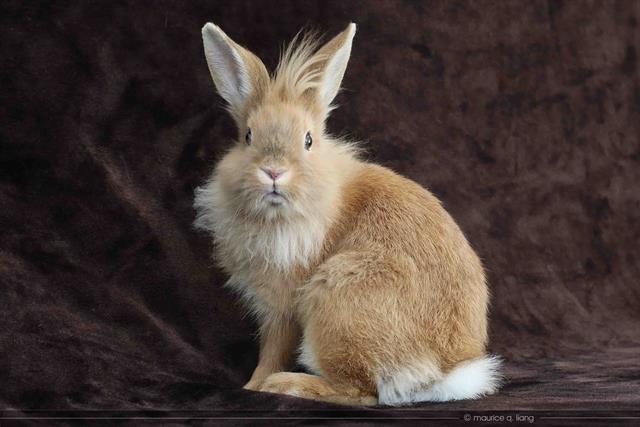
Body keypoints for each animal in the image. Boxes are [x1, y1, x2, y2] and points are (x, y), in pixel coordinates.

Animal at [192, 20, 502, 408]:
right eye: (248, 136)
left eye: (308, 140)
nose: (274, 172)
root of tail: (444, 373)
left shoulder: (283, 306)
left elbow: (273, 348)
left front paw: (254, 385)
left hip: (334, 304)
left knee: (360, 392)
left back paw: (289, 385)